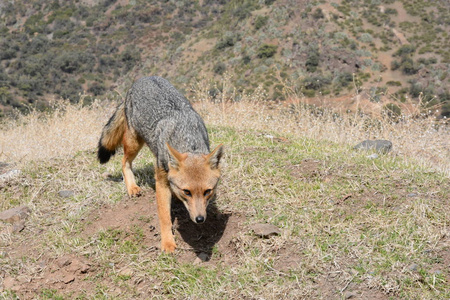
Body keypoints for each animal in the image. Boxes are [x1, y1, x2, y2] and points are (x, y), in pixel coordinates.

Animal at [99, 76, 225, 252]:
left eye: (208, 191)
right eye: (187, 192)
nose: (200, 219)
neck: (187, 138)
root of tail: (142, 79)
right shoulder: (161, 180)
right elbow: (164, 216)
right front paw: (167, 242)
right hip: (133, 143)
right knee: (124, 162)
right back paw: (132, 187)